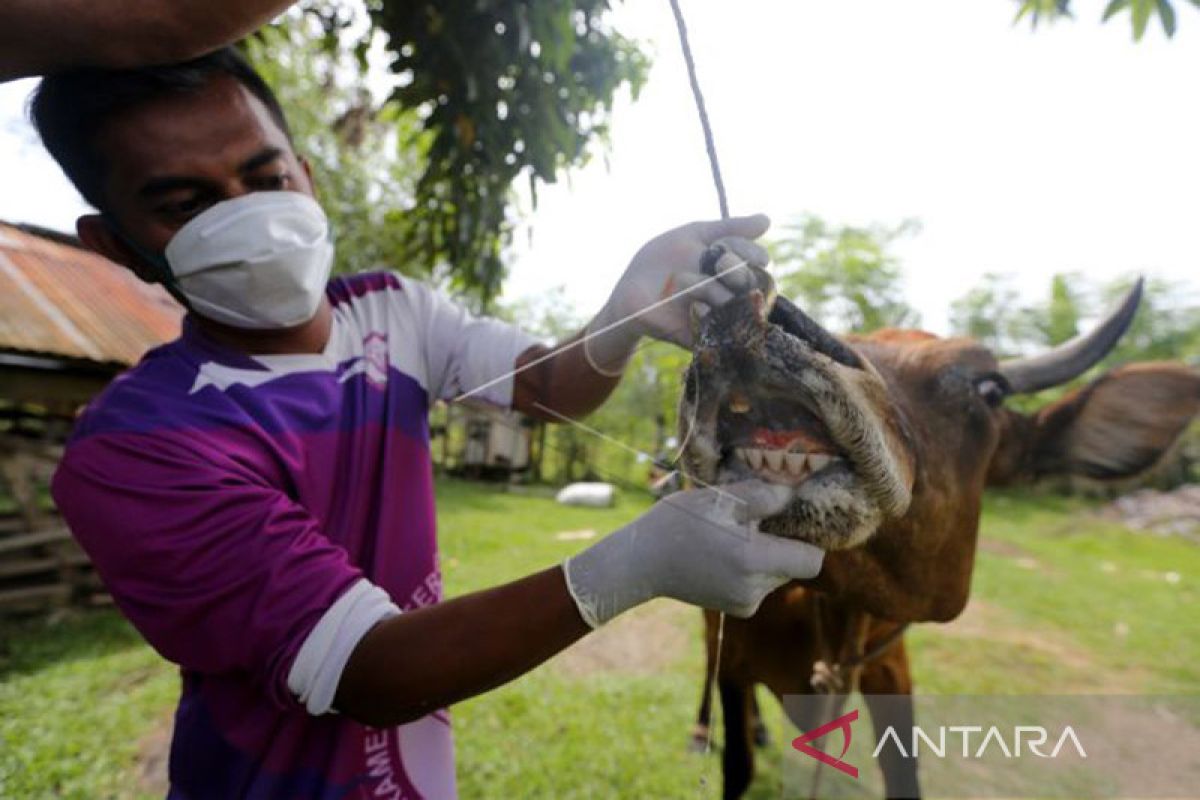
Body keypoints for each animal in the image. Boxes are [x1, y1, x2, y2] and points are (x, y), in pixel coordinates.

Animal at [676, 278, 1200, 796]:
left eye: (992, 388)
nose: (749, 315)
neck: (836, 609)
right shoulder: (735, 655)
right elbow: (738, 765)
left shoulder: (890, 668)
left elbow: (905, 773)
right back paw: (704, 729)